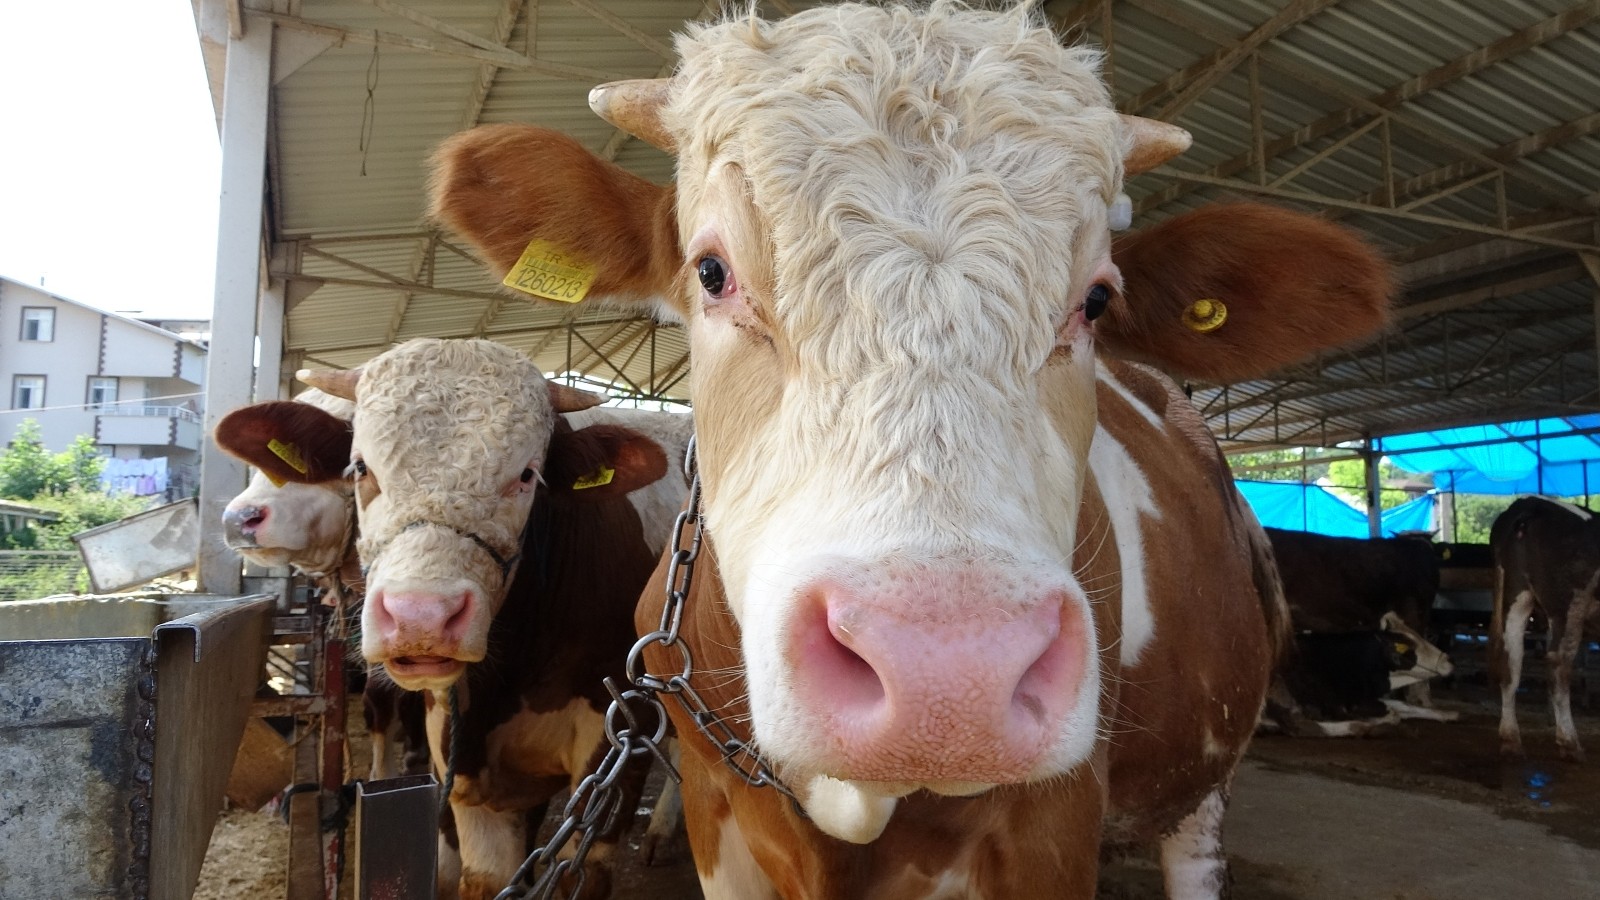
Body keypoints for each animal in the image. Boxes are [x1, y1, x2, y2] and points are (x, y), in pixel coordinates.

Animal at [425, 3, 1388, 890]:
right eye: (711, 271)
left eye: (1097, 300)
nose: (947, 676)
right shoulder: (716, 813)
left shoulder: (1053, 830)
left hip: (1205, 775)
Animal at [1484, 493, 1600, 759]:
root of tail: (1528, 505)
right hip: (1569, 605)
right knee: (1558, 666)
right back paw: (1569, 742)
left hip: (1516, 596)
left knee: (1510, 661)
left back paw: (1510, 739)